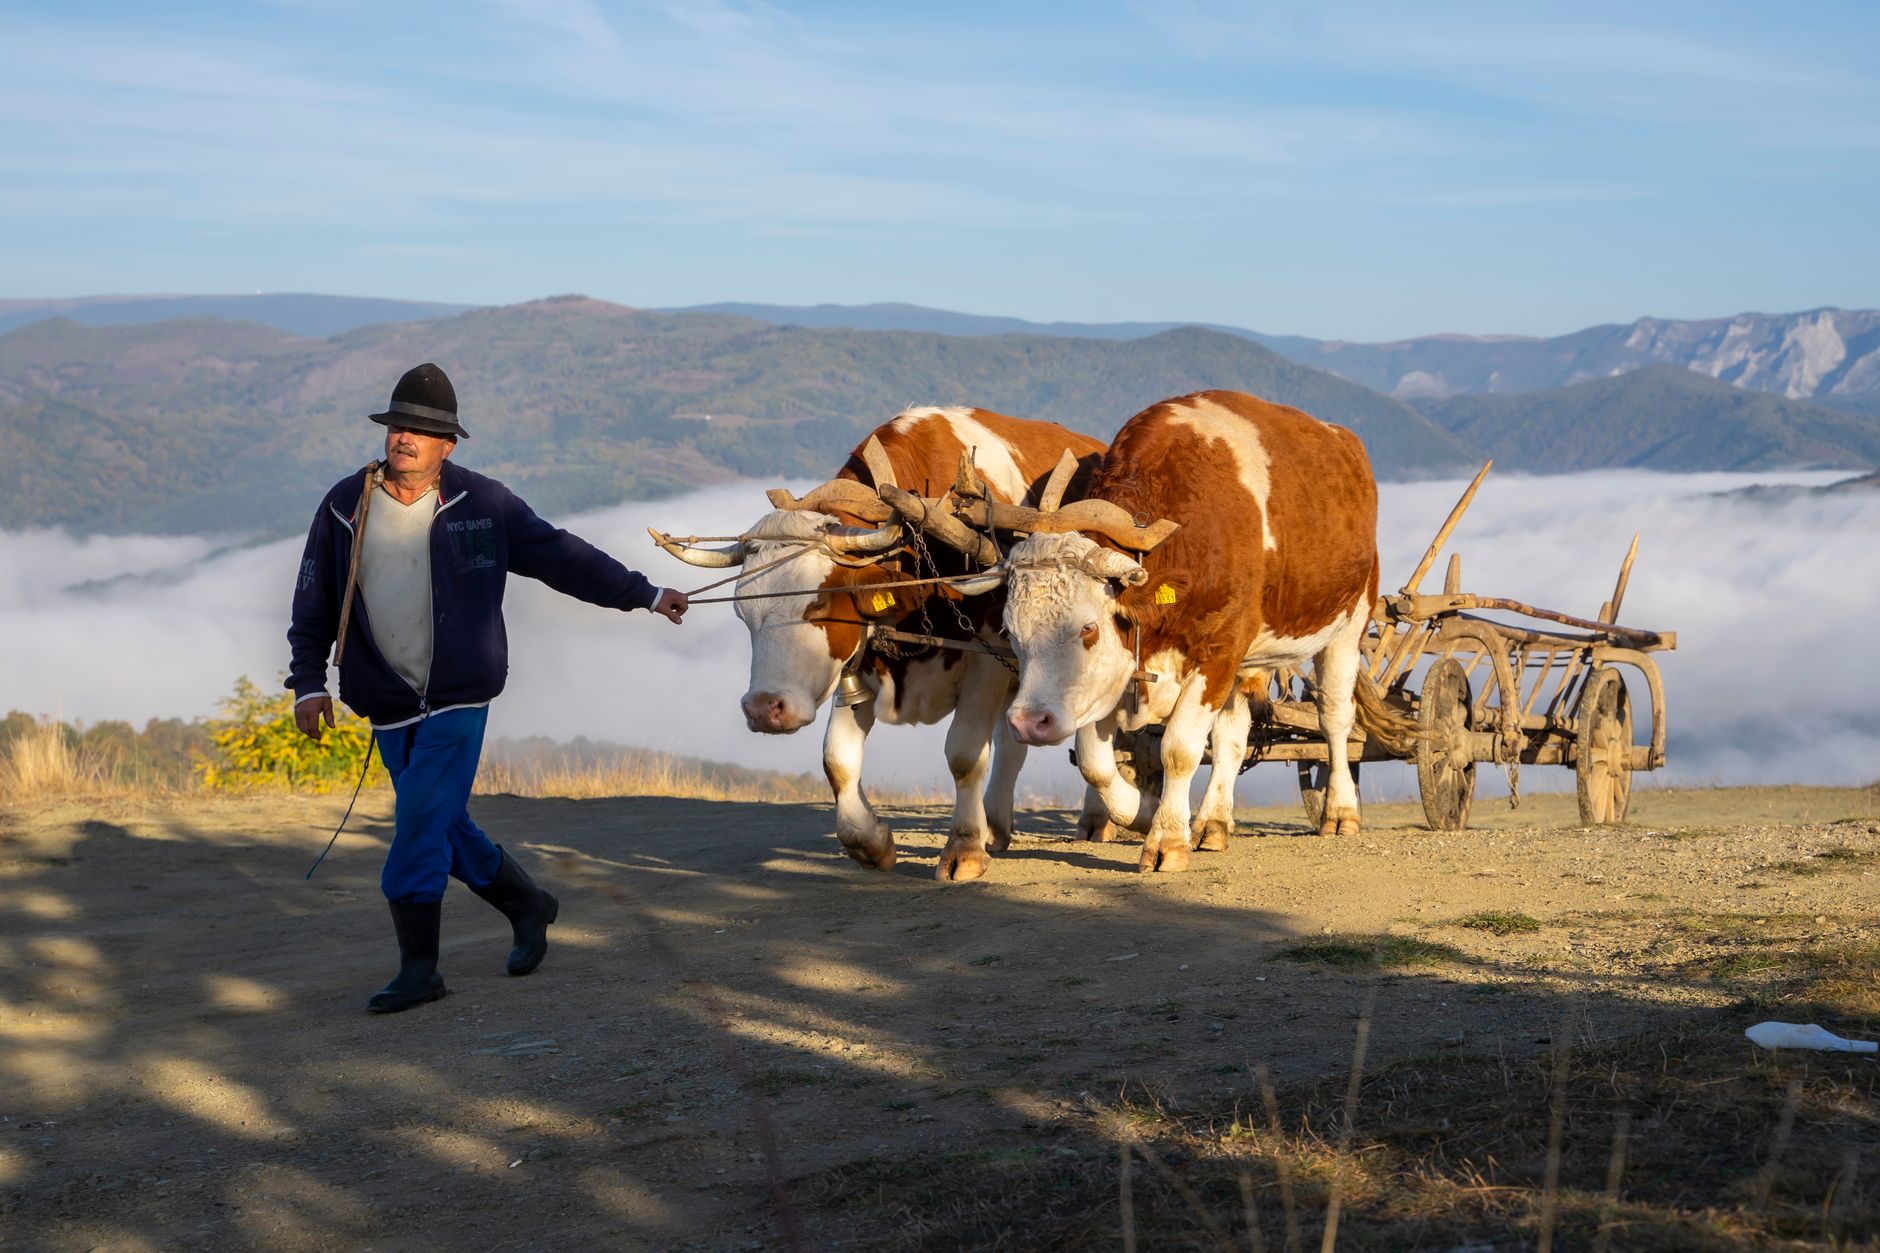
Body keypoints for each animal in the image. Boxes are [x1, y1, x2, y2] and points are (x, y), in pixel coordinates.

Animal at [654, 406, 1111, 881]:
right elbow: (837, 760)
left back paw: (1097, 820)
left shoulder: (985, 661)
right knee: (1013, 742)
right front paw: (871, 842)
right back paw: (997, 825)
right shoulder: (857, 660)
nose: (763, 710)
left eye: (819, 604)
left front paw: (964, 849)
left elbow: (965, 754)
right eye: (743, 613)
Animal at [992, 390, 1418, 872]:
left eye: (1088, 627)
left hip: (1348, 622)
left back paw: (1341, 811)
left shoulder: (1218, 649)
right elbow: (1094, 762)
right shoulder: (1120, 672)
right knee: (1234, 736)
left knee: (1335, 718)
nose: (1027, 723)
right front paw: (1142, 810)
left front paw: (1165, 839)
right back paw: (1213, 823)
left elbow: (1179, 748)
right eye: (1011, 630)